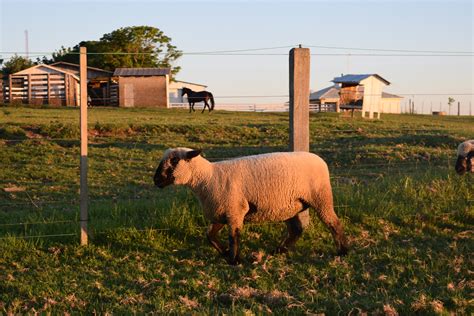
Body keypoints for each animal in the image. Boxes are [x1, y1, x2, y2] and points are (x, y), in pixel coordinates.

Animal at [153, 148, 348, 264]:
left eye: (174, 161)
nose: (155, 180)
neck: (208, 178)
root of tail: (319, 159)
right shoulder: (222, 212)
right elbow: (210, 235)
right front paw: (224, 252)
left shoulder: (235, 211)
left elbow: (234, 237)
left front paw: (234, 260)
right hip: (290, 205)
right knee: (296, 230)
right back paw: (279, 250)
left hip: (321, 198)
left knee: (334, 223)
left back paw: (343, 251)